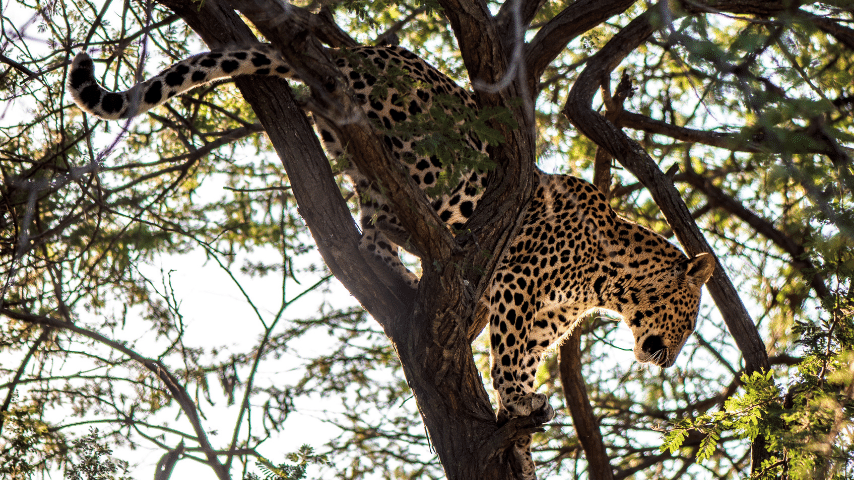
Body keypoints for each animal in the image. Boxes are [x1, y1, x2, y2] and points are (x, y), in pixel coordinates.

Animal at [70, 43, 720, 478]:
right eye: (689, 323)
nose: (668, 361)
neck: (607, 285)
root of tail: (355, 52)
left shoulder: (542, 319)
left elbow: (522, 359)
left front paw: (523, 435)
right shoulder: (520, 291)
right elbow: (509, 359)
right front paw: (516, 402)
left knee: (372, 228)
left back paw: (412, 274)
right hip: (437, 162)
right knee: (399, 221)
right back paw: (435, 264)